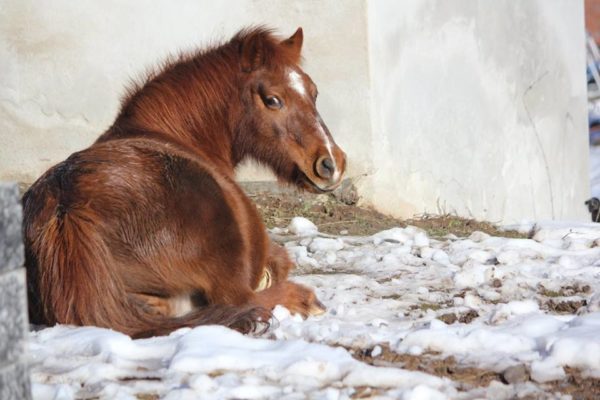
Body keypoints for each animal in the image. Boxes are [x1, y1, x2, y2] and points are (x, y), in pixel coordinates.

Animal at [22, 26, 346, 338]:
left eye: (313, 93)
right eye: (272, 100)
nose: (331, 163)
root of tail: (68, 210)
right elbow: (280, 262)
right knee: (242, 301)